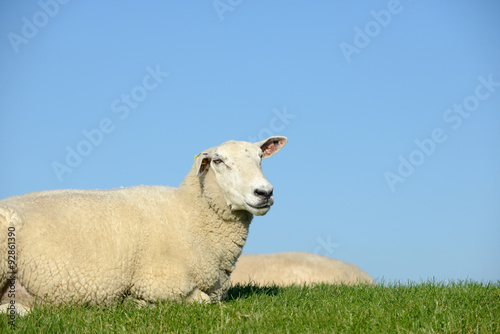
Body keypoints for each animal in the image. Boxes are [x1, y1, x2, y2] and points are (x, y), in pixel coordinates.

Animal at [0, 135, 288, 314]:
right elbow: (201, 301)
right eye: (218, 161)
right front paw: (135, 303)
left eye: (261, 157)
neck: (191, 213)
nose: (264, 192)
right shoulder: (161, 280)